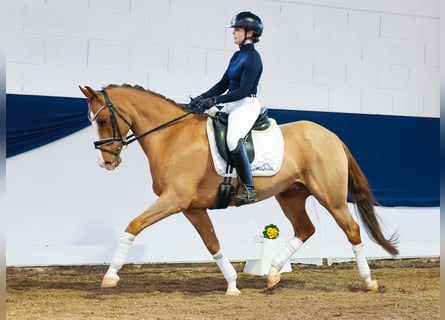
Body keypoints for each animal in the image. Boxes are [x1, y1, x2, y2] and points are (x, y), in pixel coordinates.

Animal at [80, 83, 398, 296]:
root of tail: (331, 136)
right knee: (305, 229)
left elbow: (133, 225)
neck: (172, 136)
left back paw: (368, 281)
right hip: (291, 195)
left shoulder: (174, 200)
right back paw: (272, 275)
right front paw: (232, 284)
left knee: (352, 230)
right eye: (91, 120)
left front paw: (110, 276)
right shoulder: (192, 208)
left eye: (104, 119)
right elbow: (213, 244)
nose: (106, 161)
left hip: (331, 197)